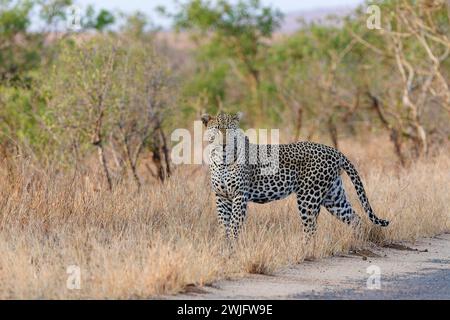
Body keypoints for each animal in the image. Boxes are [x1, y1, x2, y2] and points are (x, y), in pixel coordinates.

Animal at [202, 112, 388, 240]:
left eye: (231, 129)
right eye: (217, 129)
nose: (224, 143)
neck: (222, 160)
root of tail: (334, 151)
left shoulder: (240, 196)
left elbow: (234, 225)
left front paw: (232, 249)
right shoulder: (221, 196)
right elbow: (223, 225)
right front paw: (224, 247)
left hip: (308, 196)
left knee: (310, 229)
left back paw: (305, 251)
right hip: (334, 197)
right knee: (355, 219)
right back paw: (356, 242)